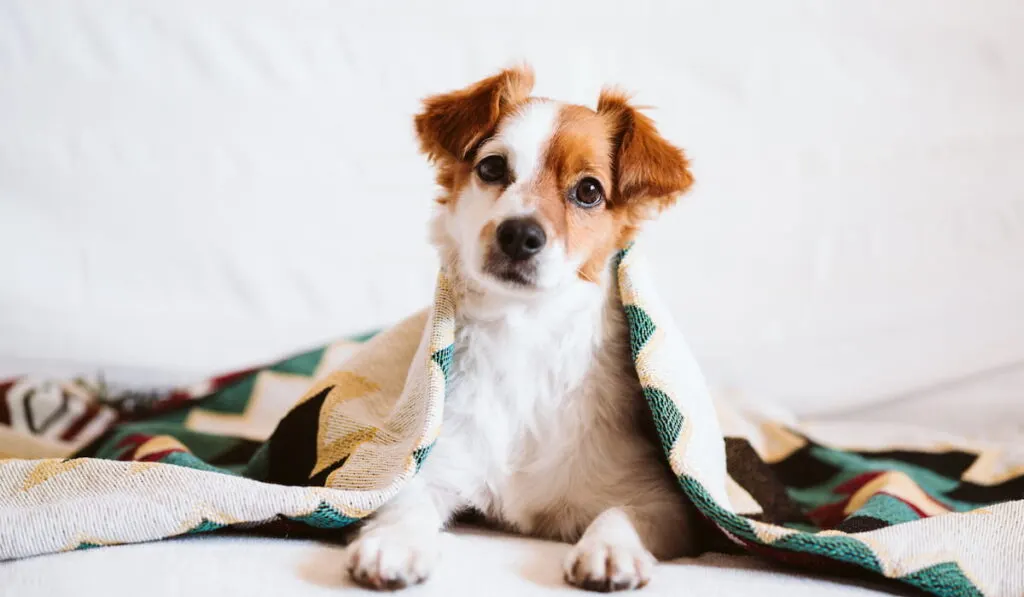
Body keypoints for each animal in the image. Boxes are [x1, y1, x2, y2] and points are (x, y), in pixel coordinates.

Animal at [346, 66, 696, 593]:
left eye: (589, 191)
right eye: (492, 168)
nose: (519, 234)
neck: (525, 334)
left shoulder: (663, 499)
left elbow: (622, 513)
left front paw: (609, 548)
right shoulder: (430, 460)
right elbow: (403, 500)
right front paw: (394, 542)